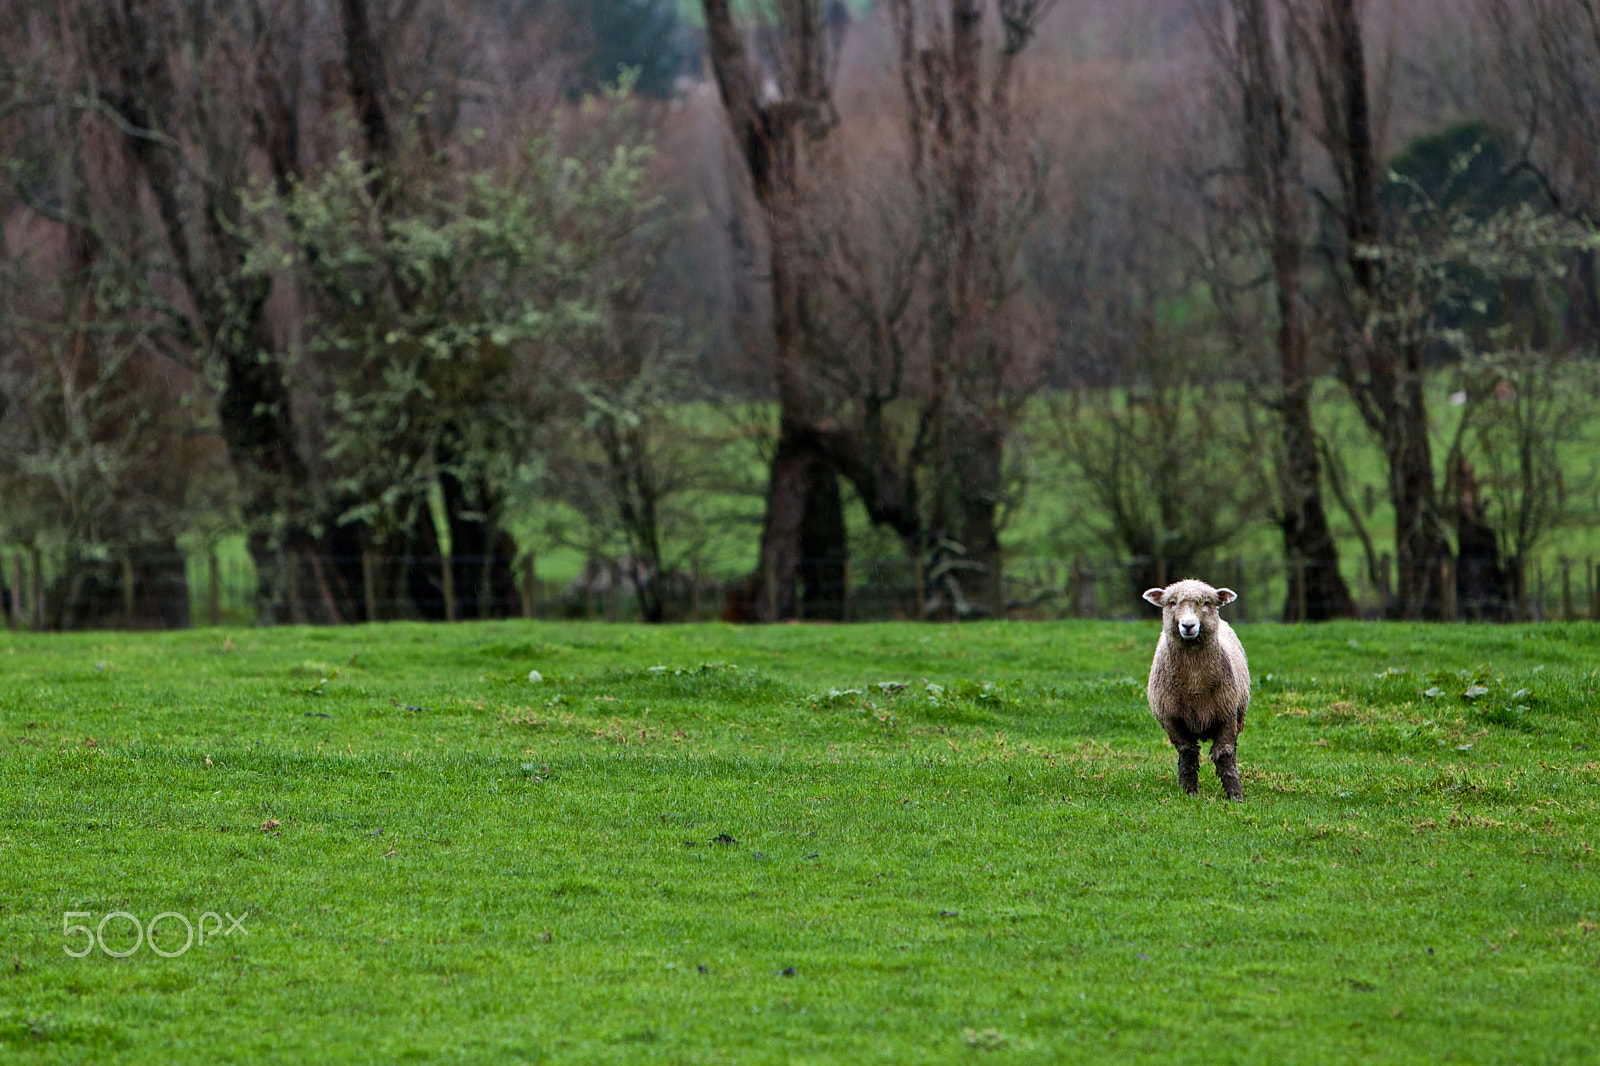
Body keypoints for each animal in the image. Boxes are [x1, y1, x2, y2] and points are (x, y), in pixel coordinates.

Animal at [1142, 578, 1251, 801]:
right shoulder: (1172, 718)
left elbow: (1224, 753)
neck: (1195, 684)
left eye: (1207, 602)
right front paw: (1188, 791)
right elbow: (1188, 752)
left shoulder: (1227, 714)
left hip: (1238, 715)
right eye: (1172, 602)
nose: (1188, 625)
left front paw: (1235, 794)